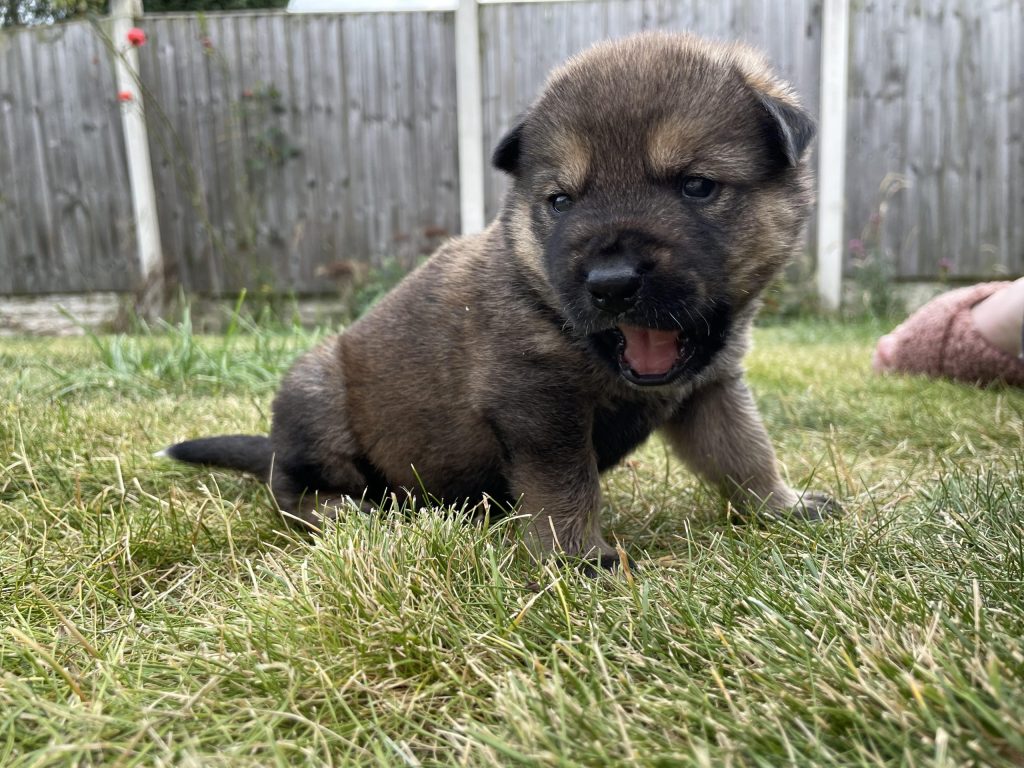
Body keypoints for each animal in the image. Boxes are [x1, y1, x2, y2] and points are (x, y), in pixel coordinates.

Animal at [161, 31, 831, 573]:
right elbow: (567, 486)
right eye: (561, 201)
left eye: (696, 186)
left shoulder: (711, 391)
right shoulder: (540, 404)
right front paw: (578, 557)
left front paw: (782, 506)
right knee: (294, 493)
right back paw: (344, 510)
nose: (611, 282)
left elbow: (745, 454)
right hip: (316, 389)